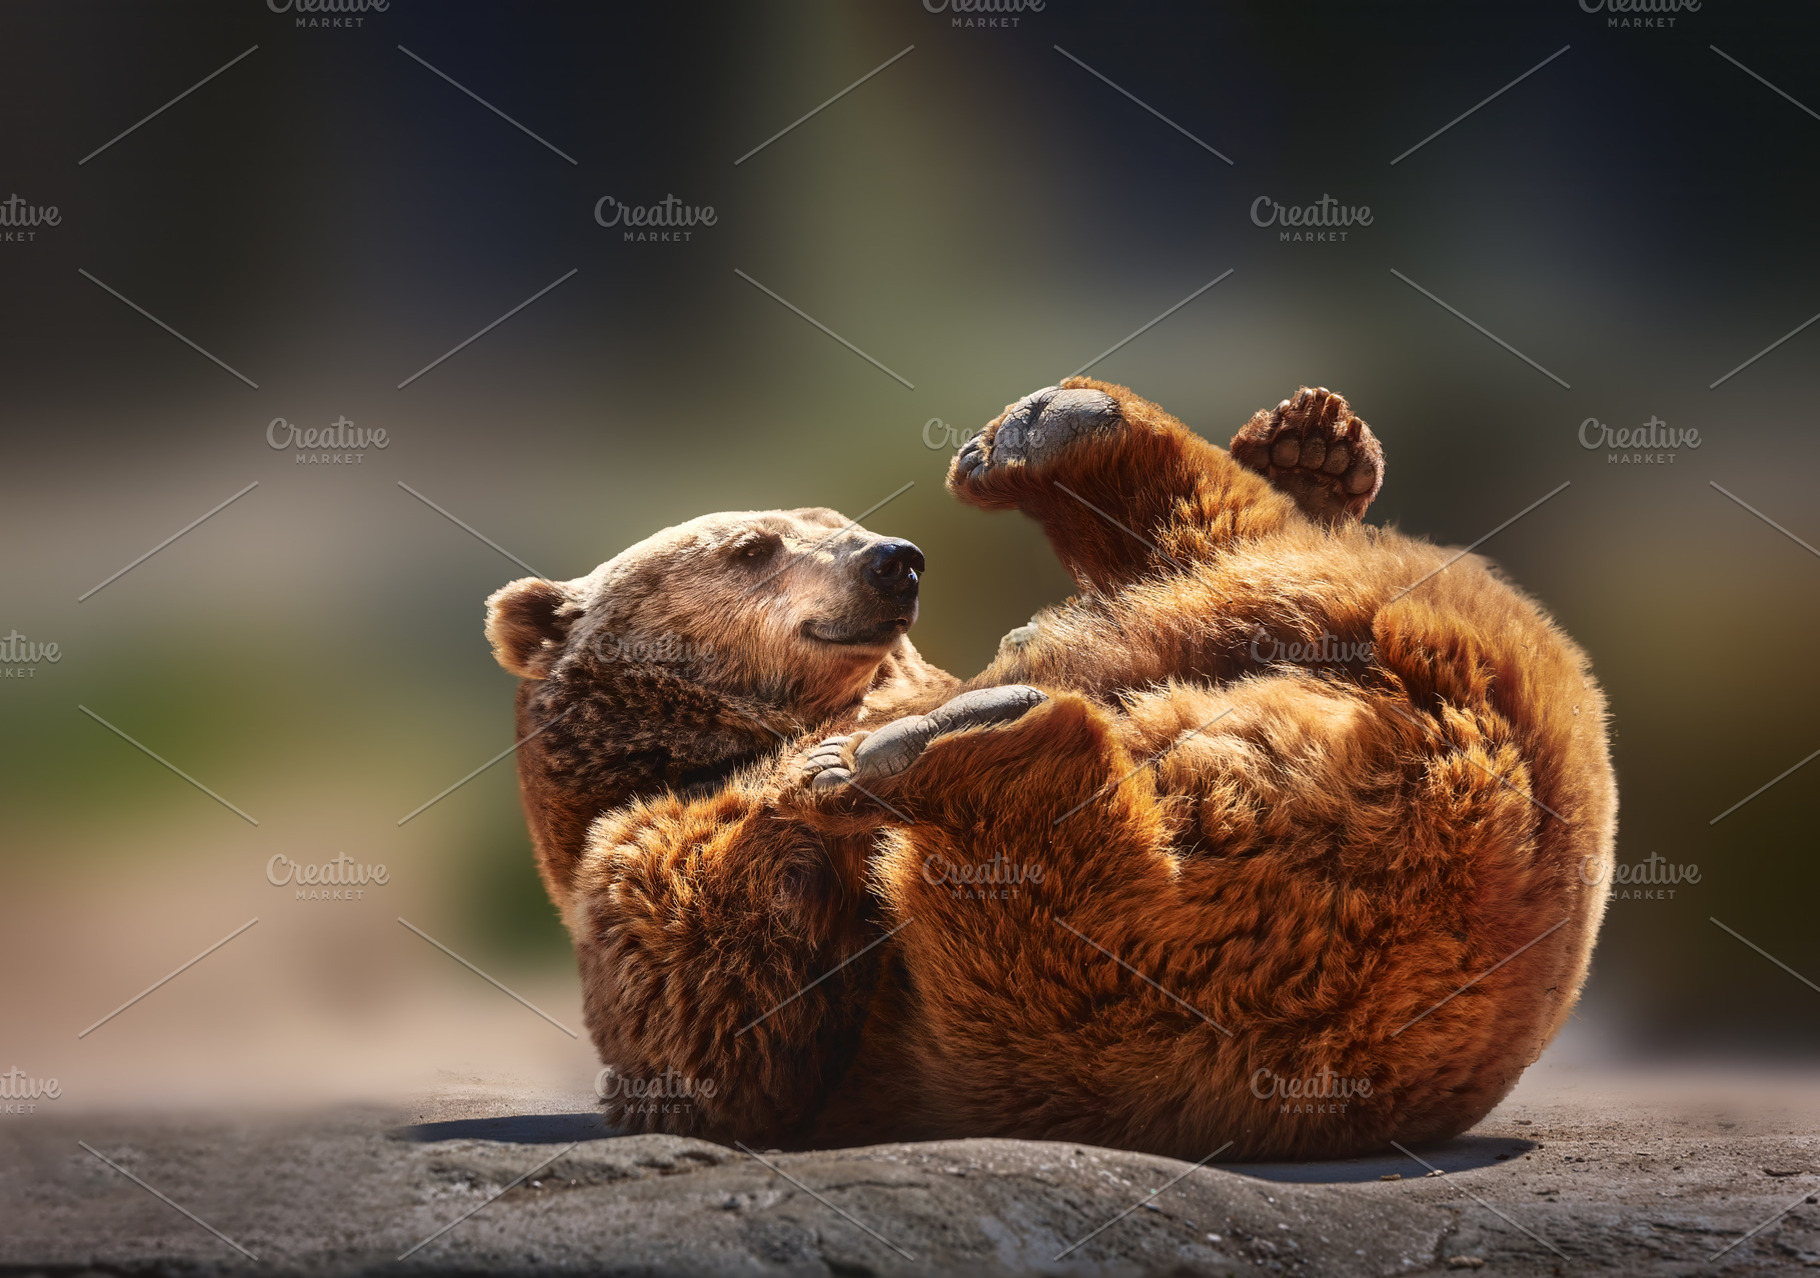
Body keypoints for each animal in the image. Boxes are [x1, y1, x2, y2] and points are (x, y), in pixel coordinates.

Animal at [484, 378, 1616, 1161]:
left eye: (837, 523)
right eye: (753, 546)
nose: (892, 559)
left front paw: (1315, 451)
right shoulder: (646, 863)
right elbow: (721, 1009)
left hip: (1342, 616)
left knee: (1218, 543)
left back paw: (1063, 441)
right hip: (1117, 1017)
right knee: (1070, 887)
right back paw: (947, 739)